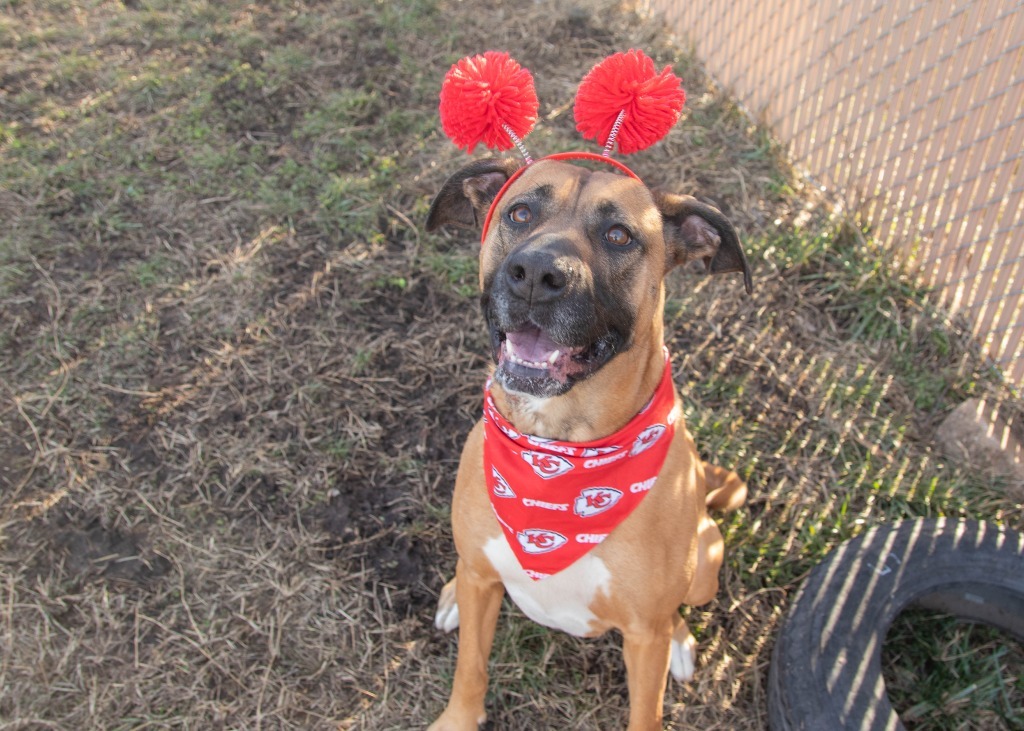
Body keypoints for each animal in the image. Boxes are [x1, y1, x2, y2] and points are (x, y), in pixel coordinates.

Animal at [423, 155, 753, 728]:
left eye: (619, 235)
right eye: (521, 212)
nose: (536, 274)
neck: (560, 448)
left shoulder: (645, 635)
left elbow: (647, 711)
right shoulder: (482, 578)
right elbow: (471, 668)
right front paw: (458, 718)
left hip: (705, 565)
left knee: (681, 608)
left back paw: (683, 641)